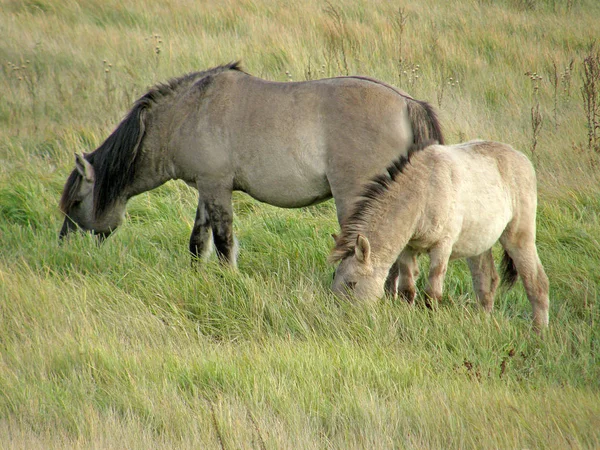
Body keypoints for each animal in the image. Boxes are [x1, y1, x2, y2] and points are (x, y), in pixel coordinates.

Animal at [59, 62, 446, 268]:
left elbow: (224, 240)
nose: (65, 247)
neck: (188, 112)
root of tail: (407, 102)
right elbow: (199, 239)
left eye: (76, 202)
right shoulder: (208, 188)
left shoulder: (216, 188)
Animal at [330, 141, 552, 330]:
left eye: (352, 284)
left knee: (537, 283)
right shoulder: (408, 248)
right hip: (478, 245)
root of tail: (522, 158)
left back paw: (538, 332)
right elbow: (407, 290)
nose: (341, 316)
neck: (425, 190)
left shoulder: (442, 247)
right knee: (487, 282)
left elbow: (432, 294)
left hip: (519, 237)